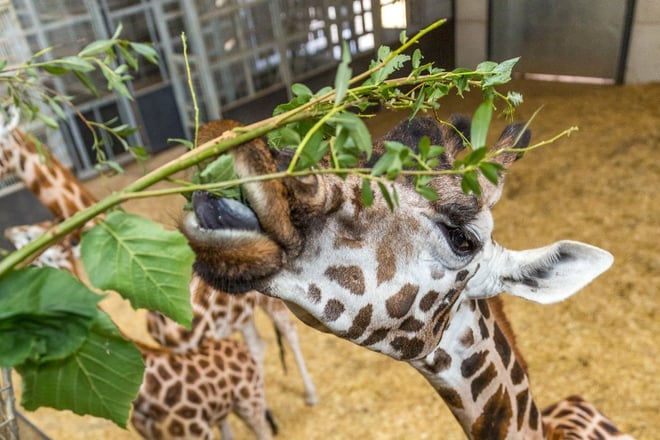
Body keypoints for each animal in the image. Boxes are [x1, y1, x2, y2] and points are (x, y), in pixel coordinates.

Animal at [0, 117, 317, 406]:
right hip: (241, 317)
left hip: (268, 303)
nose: (10, 233)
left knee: (288, 332)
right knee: (258, 346)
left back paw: (309, 394)